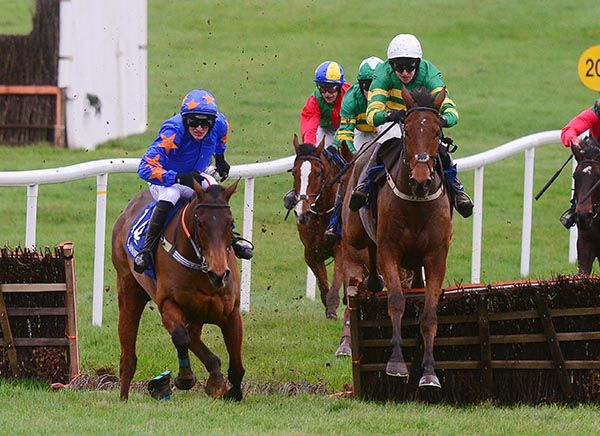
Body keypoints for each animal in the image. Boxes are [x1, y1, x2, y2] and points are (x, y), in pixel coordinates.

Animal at [111, 180, 245, 401]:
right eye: (200, 223)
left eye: (230, 222)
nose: (219, 274)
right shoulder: (168, 303)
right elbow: (181, 337)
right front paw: (185, 378)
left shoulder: (230, 311)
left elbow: (237, 365)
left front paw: (228, 389)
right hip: (128, 288)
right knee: (128, 351)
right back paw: (123, 396)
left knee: (195, 337)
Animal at [288, 134, 344, 319]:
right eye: (294, 172)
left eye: (318, 173)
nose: (302, 212)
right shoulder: (312, 254)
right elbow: (324, 287)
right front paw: (329, 311)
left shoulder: (341, 248)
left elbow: (337, 281)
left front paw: (333, 311)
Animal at [342, 86, 452, 388]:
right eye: (407, 132)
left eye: (437, 132)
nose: (421, 179)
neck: (416, 204)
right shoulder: (390, 250)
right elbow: (396, 301)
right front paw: (396, 363)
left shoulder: (436, 256)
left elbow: (429, 314)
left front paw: (429, 372)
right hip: (354, 234)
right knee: (358, 261)